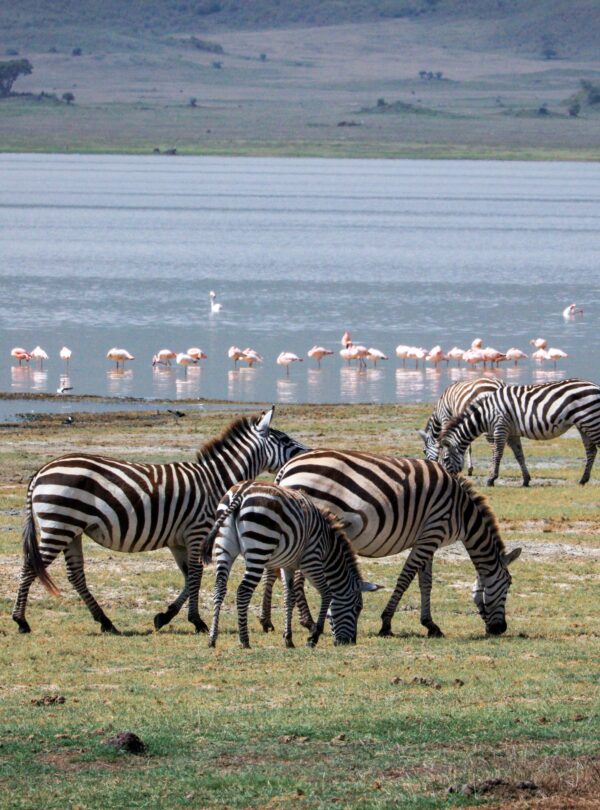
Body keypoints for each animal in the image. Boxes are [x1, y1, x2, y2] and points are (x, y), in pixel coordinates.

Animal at [12, 407, 307, 635]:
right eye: (284, 440)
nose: (305, 454)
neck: (214, 480)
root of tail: (41, 471)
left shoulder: (178, 540)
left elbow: (189, 577)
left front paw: (165, 617)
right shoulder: (197, 531)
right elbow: (196, 575)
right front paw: (196, 621)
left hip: (71, 530)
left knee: (75, 575)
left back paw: (106, 622)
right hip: (59, 525)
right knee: (30, 566)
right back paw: (21, 621)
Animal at [202, 481, 381, 648]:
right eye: (357, 608)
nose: (350, 642)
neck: (328, 548)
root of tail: (241, 491)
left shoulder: (287, 565)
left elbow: (289, 597)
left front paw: (288, 639)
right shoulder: (311, 560)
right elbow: (327, 593)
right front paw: (313, 636)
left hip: (224, 547)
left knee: (219, 588)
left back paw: (212, 638)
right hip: (259, 547)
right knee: (243, 591)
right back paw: (244, 640)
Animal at [263, 451, 520, 637]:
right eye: (508, 585)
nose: (500, 629)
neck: (462, 512)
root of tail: (287, 466)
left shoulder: (428, 538)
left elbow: (425, 582)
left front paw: (430, 624)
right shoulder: (432, 532)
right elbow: (406, 578)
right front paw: (386, 623)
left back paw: (272, 621)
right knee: (296, 577)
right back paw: (307, 622)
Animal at [438, 378, 600, 486]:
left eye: (445, 460)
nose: (445, 480)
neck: (485, 413)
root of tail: (595, 386)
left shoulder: (500, 427)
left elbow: (498, 454)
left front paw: (491, 479)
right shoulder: (512, 433)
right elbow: (519, 455)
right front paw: (526, 480)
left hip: (590, 420)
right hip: (583, 424)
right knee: (591, 450)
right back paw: (583, 480)